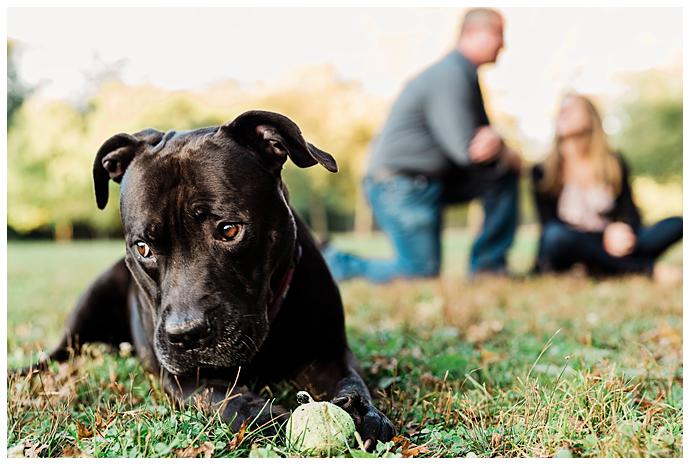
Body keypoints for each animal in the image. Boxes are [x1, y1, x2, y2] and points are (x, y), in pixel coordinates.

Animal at [21, 109, 392, 450]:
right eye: (143, 248)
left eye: (229, 230)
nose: (187, 334)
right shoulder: (183, 378)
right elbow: (224, 399)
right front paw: (269, 418)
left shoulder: (330, 352)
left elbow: (351, 381)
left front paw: (364, 413)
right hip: (90, 304)